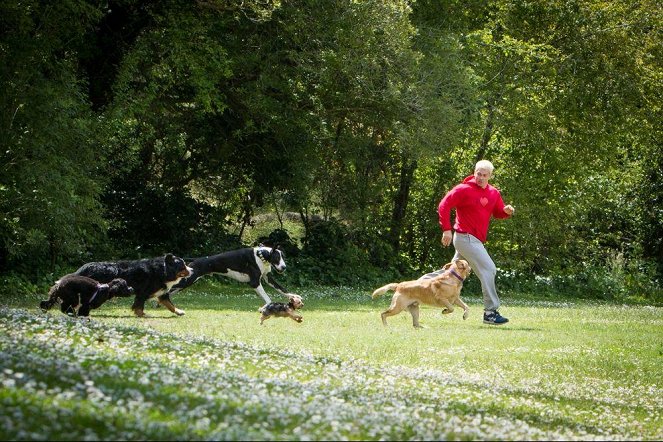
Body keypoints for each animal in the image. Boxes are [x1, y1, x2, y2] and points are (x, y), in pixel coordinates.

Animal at [162, 245, 302, 310]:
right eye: (277, 258)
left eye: (283, 257)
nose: (284, 267)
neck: (262, 255)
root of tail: (195, 261)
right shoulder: (255, 282)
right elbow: (268, 298)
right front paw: (267, 306)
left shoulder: (268, 278)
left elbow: (282, 289)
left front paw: (294, 296)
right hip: (187, 280)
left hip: (186, 283)